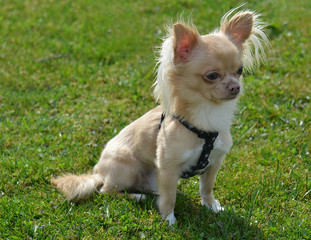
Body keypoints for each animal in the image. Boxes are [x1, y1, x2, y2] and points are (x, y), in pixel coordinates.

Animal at [52, 7, 270, 225]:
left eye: (240, 71)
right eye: (212, 76)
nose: (235, 87)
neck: (207, 117)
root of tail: (97, 172)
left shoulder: (214, 162)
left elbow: (206, 188)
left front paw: (212, 207)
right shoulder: (168, 167)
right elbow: (169, 197)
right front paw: (169, 220)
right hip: (127, 167)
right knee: (107, 191)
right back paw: (136, 196)